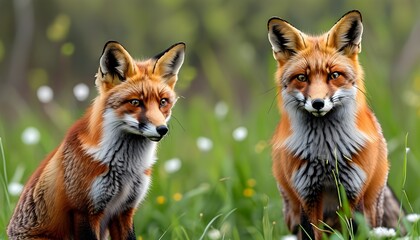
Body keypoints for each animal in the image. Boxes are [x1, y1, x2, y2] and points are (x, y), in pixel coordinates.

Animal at [6, 41, 185, 240]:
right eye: (135, 102)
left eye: (163, 102)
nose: (162, 129)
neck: (125, 168)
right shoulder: (84, 211)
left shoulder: (125, 210)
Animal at [270, 10, 400, 239]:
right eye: (302, 77)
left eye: (334, 75)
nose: (318, 103)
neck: (326, 155)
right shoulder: (308, 195)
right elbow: (310, 233)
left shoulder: (353, 192)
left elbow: (354, 231)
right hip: (292, 214)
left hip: (372, 211)